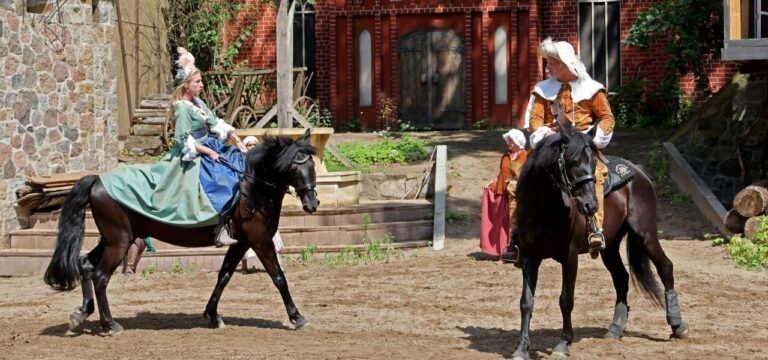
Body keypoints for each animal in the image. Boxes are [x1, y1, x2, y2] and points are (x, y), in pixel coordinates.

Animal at [43, 129, 320, 334]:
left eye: (313, 166)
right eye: (295, 167)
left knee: (85, 264)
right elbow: (279, 277)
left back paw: (82, 313)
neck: (252, 184)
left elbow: (224, 275)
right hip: (119, 242)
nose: (312, 204)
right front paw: (297, 317)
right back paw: (110, 324)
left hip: (113, 239)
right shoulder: (260, 241)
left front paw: (212, 315)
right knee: (100, 276)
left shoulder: (241, 242)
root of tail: (97, 180)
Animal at [510, 123, 688, 358]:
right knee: (621, 278)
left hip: (646, 234)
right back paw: (616, 328)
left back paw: (677, 325)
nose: (591, 205)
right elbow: (526, 302)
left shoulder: (570, 256)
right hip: (609, 247)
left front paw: (564, 344)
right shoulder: (530, 256)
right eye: (572, 161)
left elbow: (566, 300)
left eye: (594, 162)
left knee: (665, 267)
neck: (543, 208)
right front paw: (521, 348)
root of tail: (639, 173)